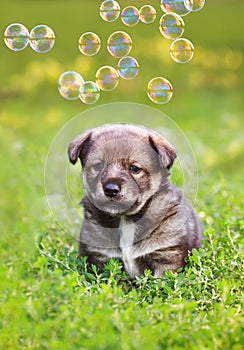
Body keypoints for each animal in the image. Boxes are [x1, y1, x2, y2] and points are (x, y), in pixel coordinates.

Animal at [67, 124, 203, 278]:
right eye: (98, 166)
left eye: (134, 168)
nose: (111, 190)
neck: (125, 219)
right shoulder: (100, 259)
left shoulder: (166, 257)